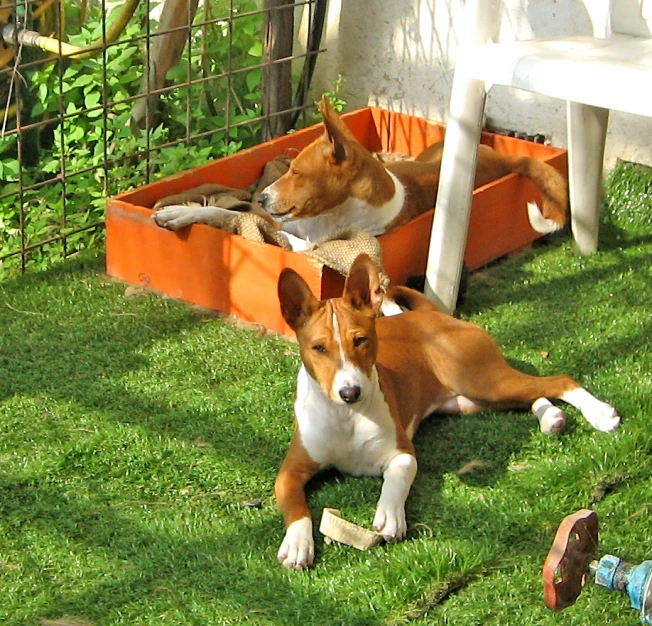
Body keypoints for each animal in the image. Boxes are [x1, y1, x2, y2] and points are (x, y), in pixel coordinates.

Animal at [155, 96, 568, 250]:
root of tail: (507, 161)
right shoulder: (284, 223)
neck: (329, 217)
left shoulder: (300, 242)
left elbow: (236, 217)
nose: (263, 196)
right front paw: (179, 212)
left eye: (298, 173)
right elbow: (222, 211)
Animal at [276, 255, 620, 572]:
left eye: (360, 340)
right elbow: (296, 507)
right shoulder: (290, 471)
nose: (350, 392)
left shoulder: (402, 453)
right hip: (470, 399)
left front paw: (390, 515)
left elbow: (395, 482)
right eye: (319, 348)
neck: (346, 418)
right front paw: (297, 544)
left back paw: (600, 414)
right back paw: (552, 418)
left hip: (480, 378)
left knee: (559, 380)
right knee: (532, 396)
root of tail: (432, 314)